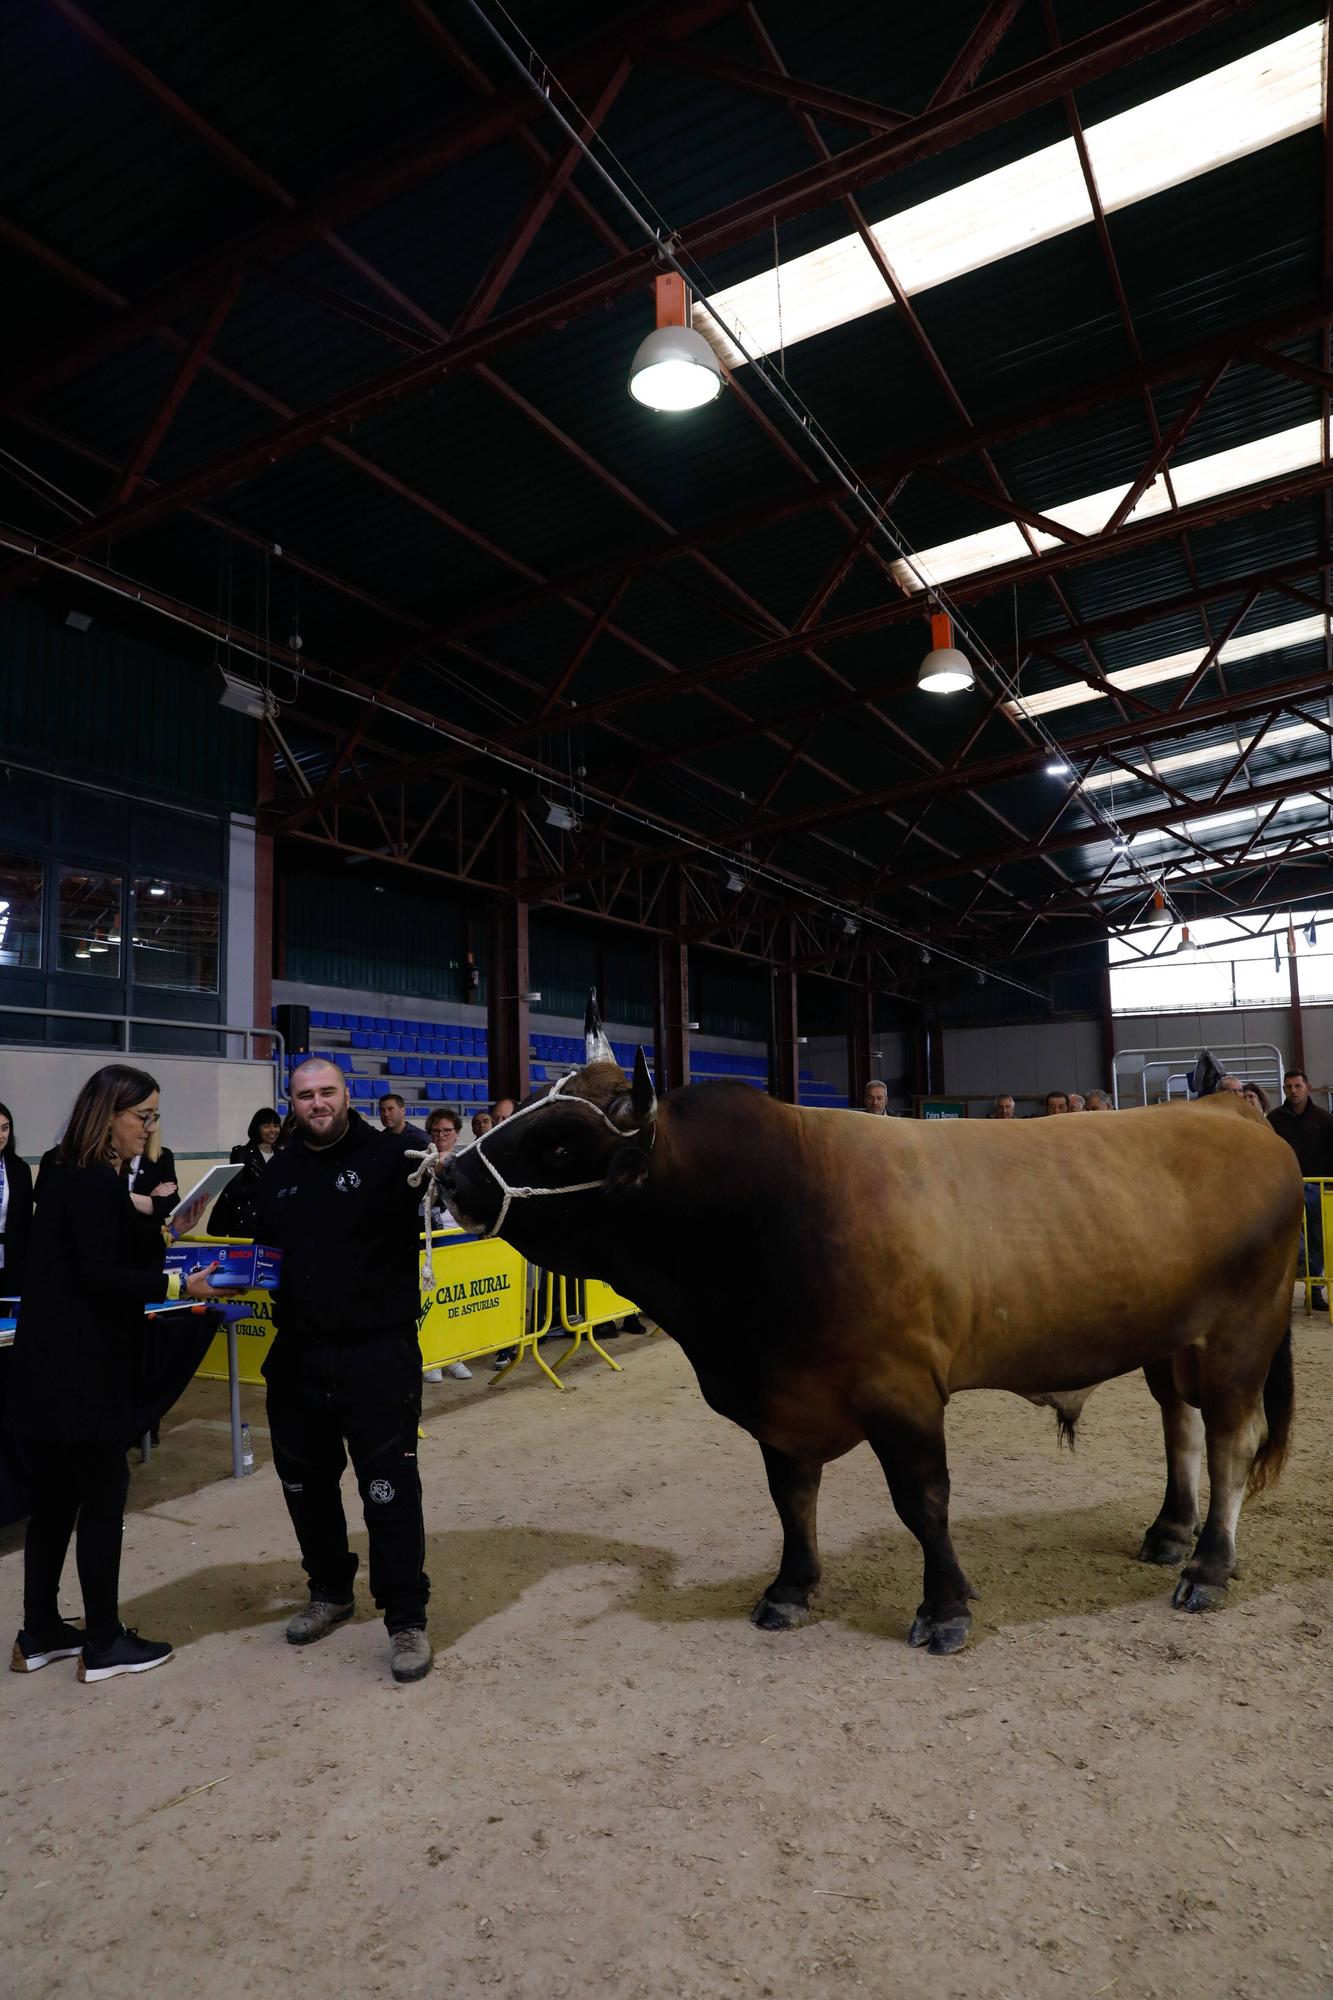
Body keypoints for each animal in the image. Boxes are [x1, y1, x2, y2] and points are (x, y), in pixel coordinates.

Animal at [440, 1040, 1288, 1648]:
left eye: (558, 1145)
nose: (446, 1176)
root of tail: (1229, 1107)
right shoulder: (781, 1400)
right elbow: (790, 1497)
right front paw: (788, 1589)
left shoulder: (900, 1389)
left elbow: (921, 1500)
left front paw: (943, 1609)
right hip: (1169, 1343)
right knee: (1179, 1426)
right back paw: (1168, 1531)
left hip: (1237, 1337)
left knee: (1229, 1441)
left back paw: (1208, 1567)